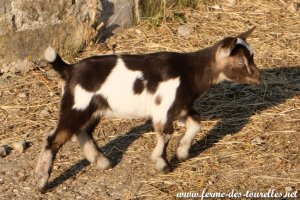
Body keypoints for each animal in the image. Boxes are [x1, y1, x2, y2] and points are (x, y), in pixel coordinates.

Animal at [35, 26, 260, 191]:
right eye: (241, 61)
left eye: (252, 56)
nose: (258, 77)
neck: (191, 71)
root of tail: (69, 69)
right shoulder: (164, 108)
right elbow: (166, 133)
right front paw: (163, 164)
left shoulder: (180, 107)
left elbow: (196, 122)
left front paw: (183, 152)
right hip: (76, 107)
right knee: (53, 139)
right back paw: (42, 183)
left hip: (92, 109)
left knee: (83, 132)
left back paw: (103, 162)